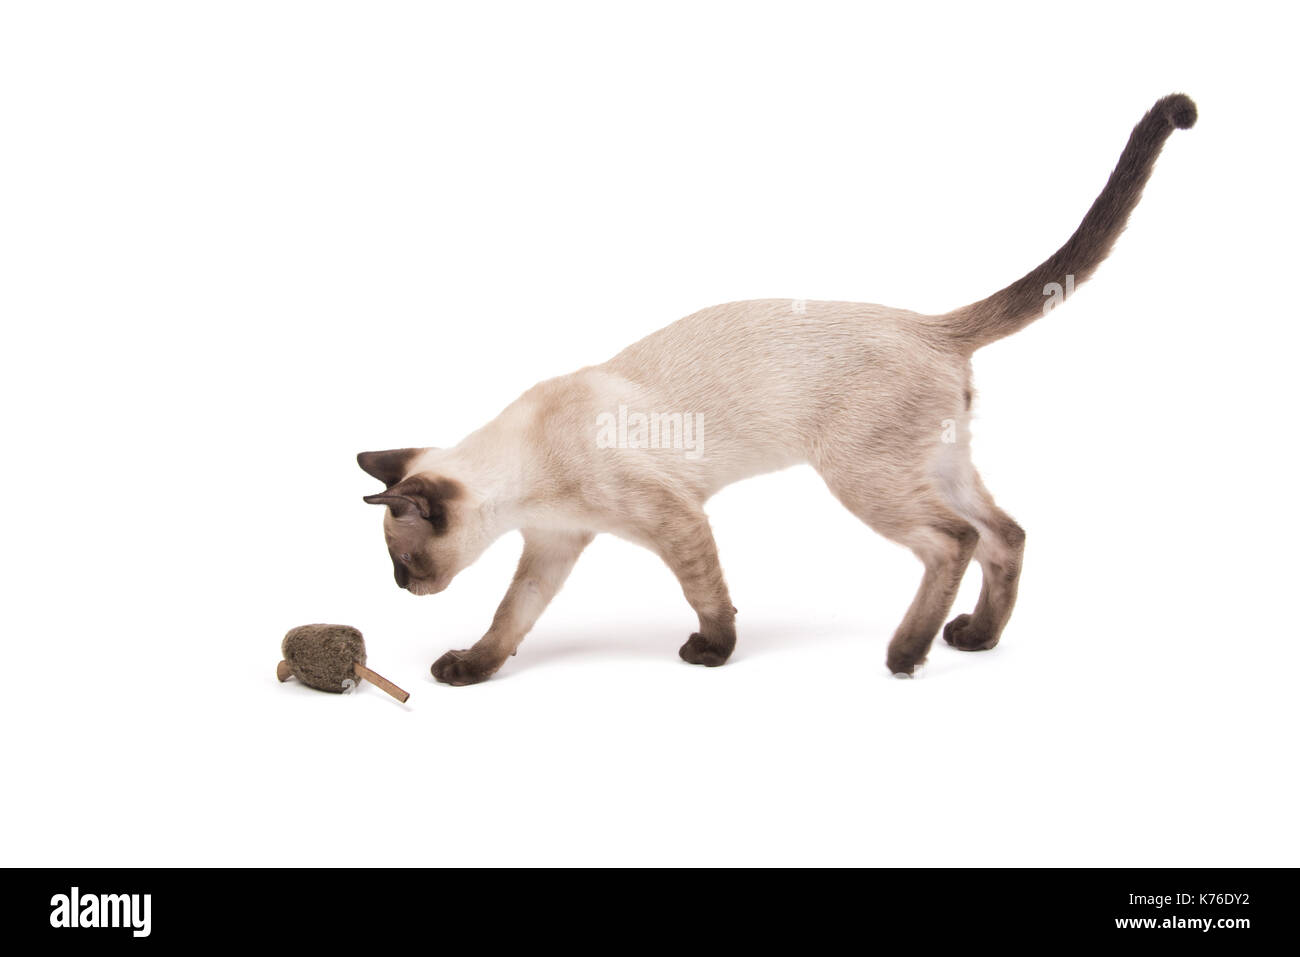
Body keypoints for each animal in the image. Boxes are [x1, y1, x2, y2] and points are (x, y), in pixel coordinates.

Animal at [356, 95, 1196, 681]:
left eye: (403, 562)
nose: (400, 590)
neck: (529, 475)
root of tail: (931, 324)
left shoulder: (675, 521)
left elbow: (707, 593)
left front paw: (712, 650)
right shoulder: (554, 546)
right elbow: (510, 617)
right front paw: (471, 666)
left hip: (861, 479)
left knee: (953, 540)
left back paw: (905, 654)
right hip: (935, 466)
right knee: (1005, 533)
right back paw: (975, 638)